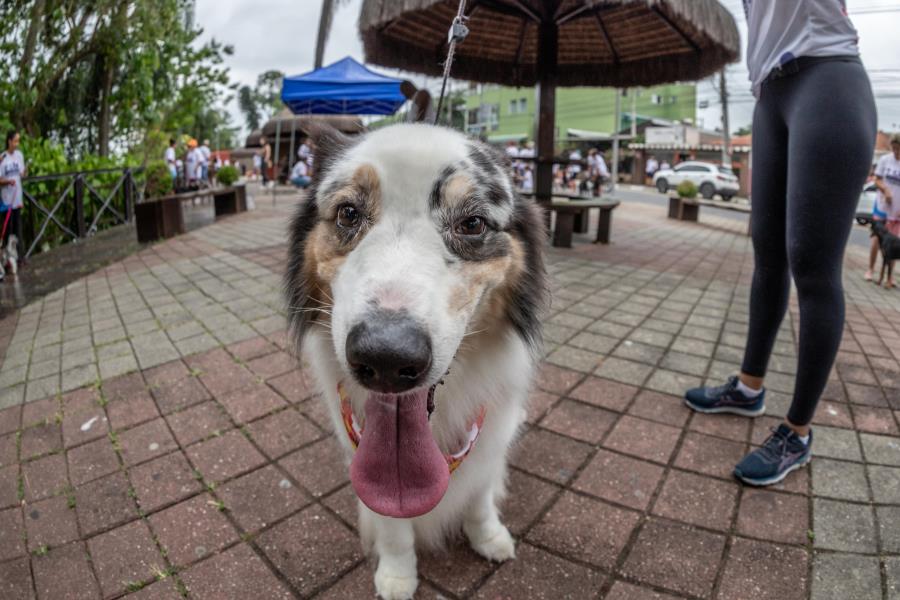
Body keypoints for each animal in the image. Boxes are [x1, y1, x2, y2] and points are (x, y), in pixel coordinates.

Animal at [284, 123, 544, 600]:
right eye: (348, 213)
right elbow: (391, 524)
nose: (386, 357)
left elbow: (480, 492)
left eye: (472, 223)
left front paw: (488, 536)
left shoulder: (492, 431)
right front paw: (397, 575)